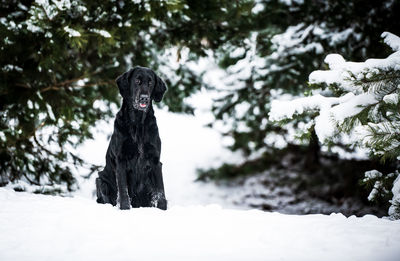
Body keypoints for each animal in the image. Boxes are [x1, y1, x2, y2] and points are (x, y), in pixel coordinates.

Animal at [96, 65, 167, 209]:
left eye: (150, 82)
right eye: (137, 81)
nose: (144, 98)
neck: (138, 124)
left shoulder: (155, 159)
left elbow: (160, 190)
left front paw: (163, 209)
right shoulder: (121, 159)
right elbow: (123, 190)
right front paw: (124, 208)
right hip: (100, 180)